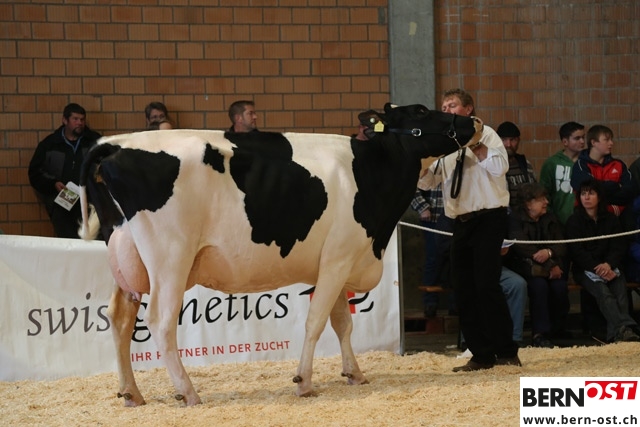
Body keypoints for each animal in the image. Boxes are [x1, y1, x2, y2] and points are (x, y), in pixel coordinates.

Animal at [78, 103, 483, 407]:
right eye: (421, 111)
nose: (475, 121)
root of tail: (114, 144)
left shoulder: (339, 262)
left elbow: (342, 323)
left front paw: (354, 373)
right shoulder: (338, 259)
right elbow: (316, 322)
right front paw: (304, 382)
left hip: (126, 261)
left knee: (119, 318)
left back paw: (132, 393)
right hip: (170, 259)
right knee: (160, 321)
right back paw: (188, 392)